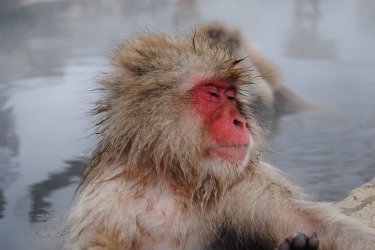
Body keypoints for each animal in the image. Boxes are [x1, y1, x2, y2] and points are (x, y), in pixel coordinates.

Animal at [65, 23, 375, 250]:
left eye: (231, 96)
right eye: (213, 94)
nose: (240, 121)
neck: (177, 176)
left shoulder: (247, 184)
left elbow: (316, 224)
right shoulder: (105, 205)